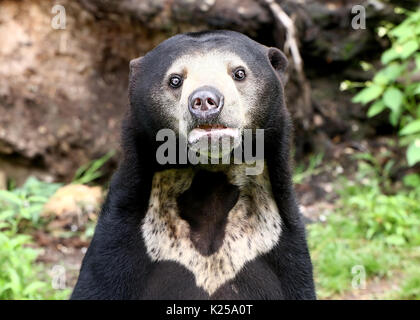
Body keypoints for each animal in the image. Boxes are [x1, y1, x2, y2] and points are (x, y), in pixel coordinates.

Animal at [71, 30, 316, 300]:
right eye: (175, 80)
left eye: (239, 73)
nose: (205, 100)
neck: (211, 180)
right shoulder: (121, 239)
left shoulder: (283, 249)